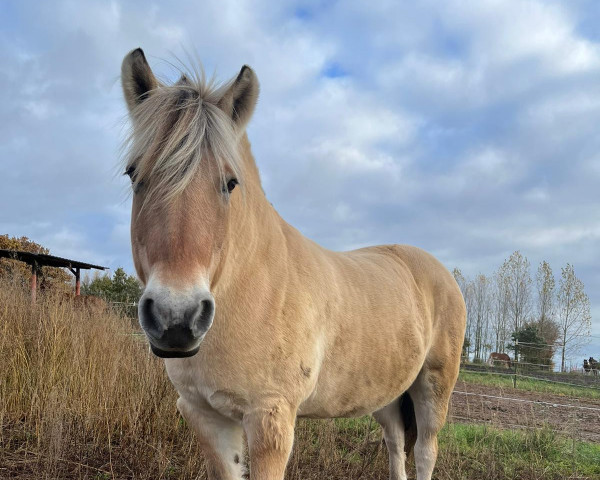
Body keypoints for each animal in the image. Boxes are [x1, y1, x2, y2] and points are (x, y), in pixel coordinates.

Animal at [119, 48, 466, 480]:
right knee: (395, 444)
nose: (176, 319)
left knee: (424, 451)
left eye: (230, 183)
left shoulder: (271, 418)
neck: (249, 288)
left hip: (433, 389)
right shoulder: (204, 414)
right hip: (388, 394)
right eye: (134, 174)